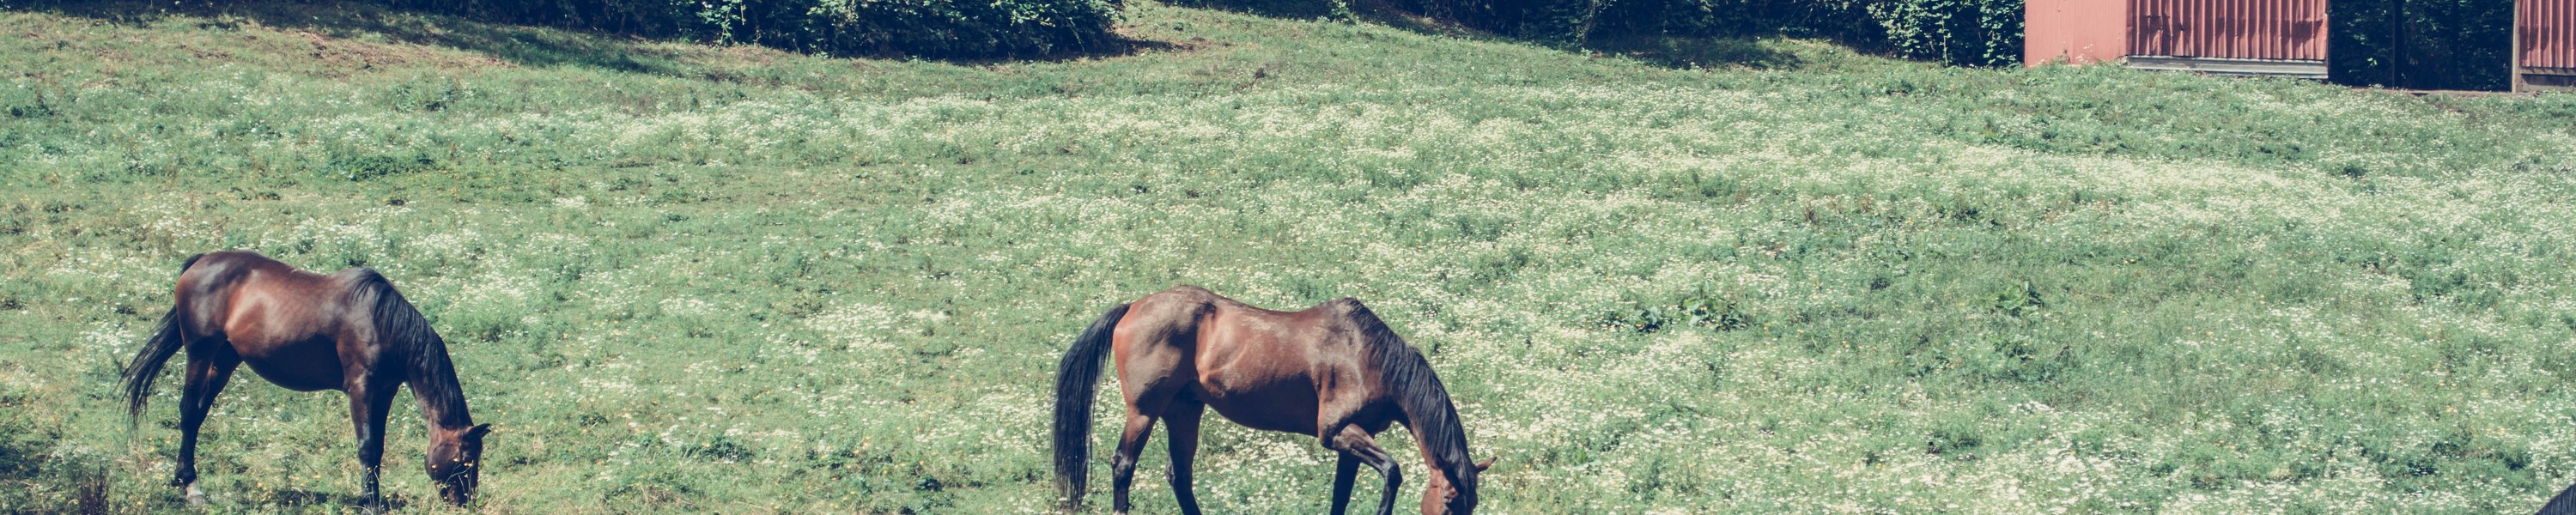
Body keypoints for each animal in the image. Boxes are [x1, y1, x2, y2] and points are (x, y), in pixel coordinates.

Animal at [120, 251, 491, 512]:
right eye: (465, 460)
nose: (466, 503)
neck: (381, 320)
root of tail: (201, 262)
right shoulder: (362, 389)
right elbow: (367, 447)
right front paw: (369, 504)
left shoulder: (384, 391)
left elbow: (379, 448)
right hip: (199, 352)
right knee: (187, 411)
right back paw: (192, 487)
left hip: (224, 360)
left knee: (197, 414)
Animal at [1052, 286, 1492, 515]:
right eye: (1450, 503)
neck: (1366, 354)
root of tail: (1133, 306)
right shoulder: (1338, 433)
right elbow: (1393, 472)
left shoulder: (1351, 441)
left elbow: (1341, 494)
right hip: (1144, 412)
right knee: (1123, 465)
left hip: (1184, 410)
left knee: (1180, 475)